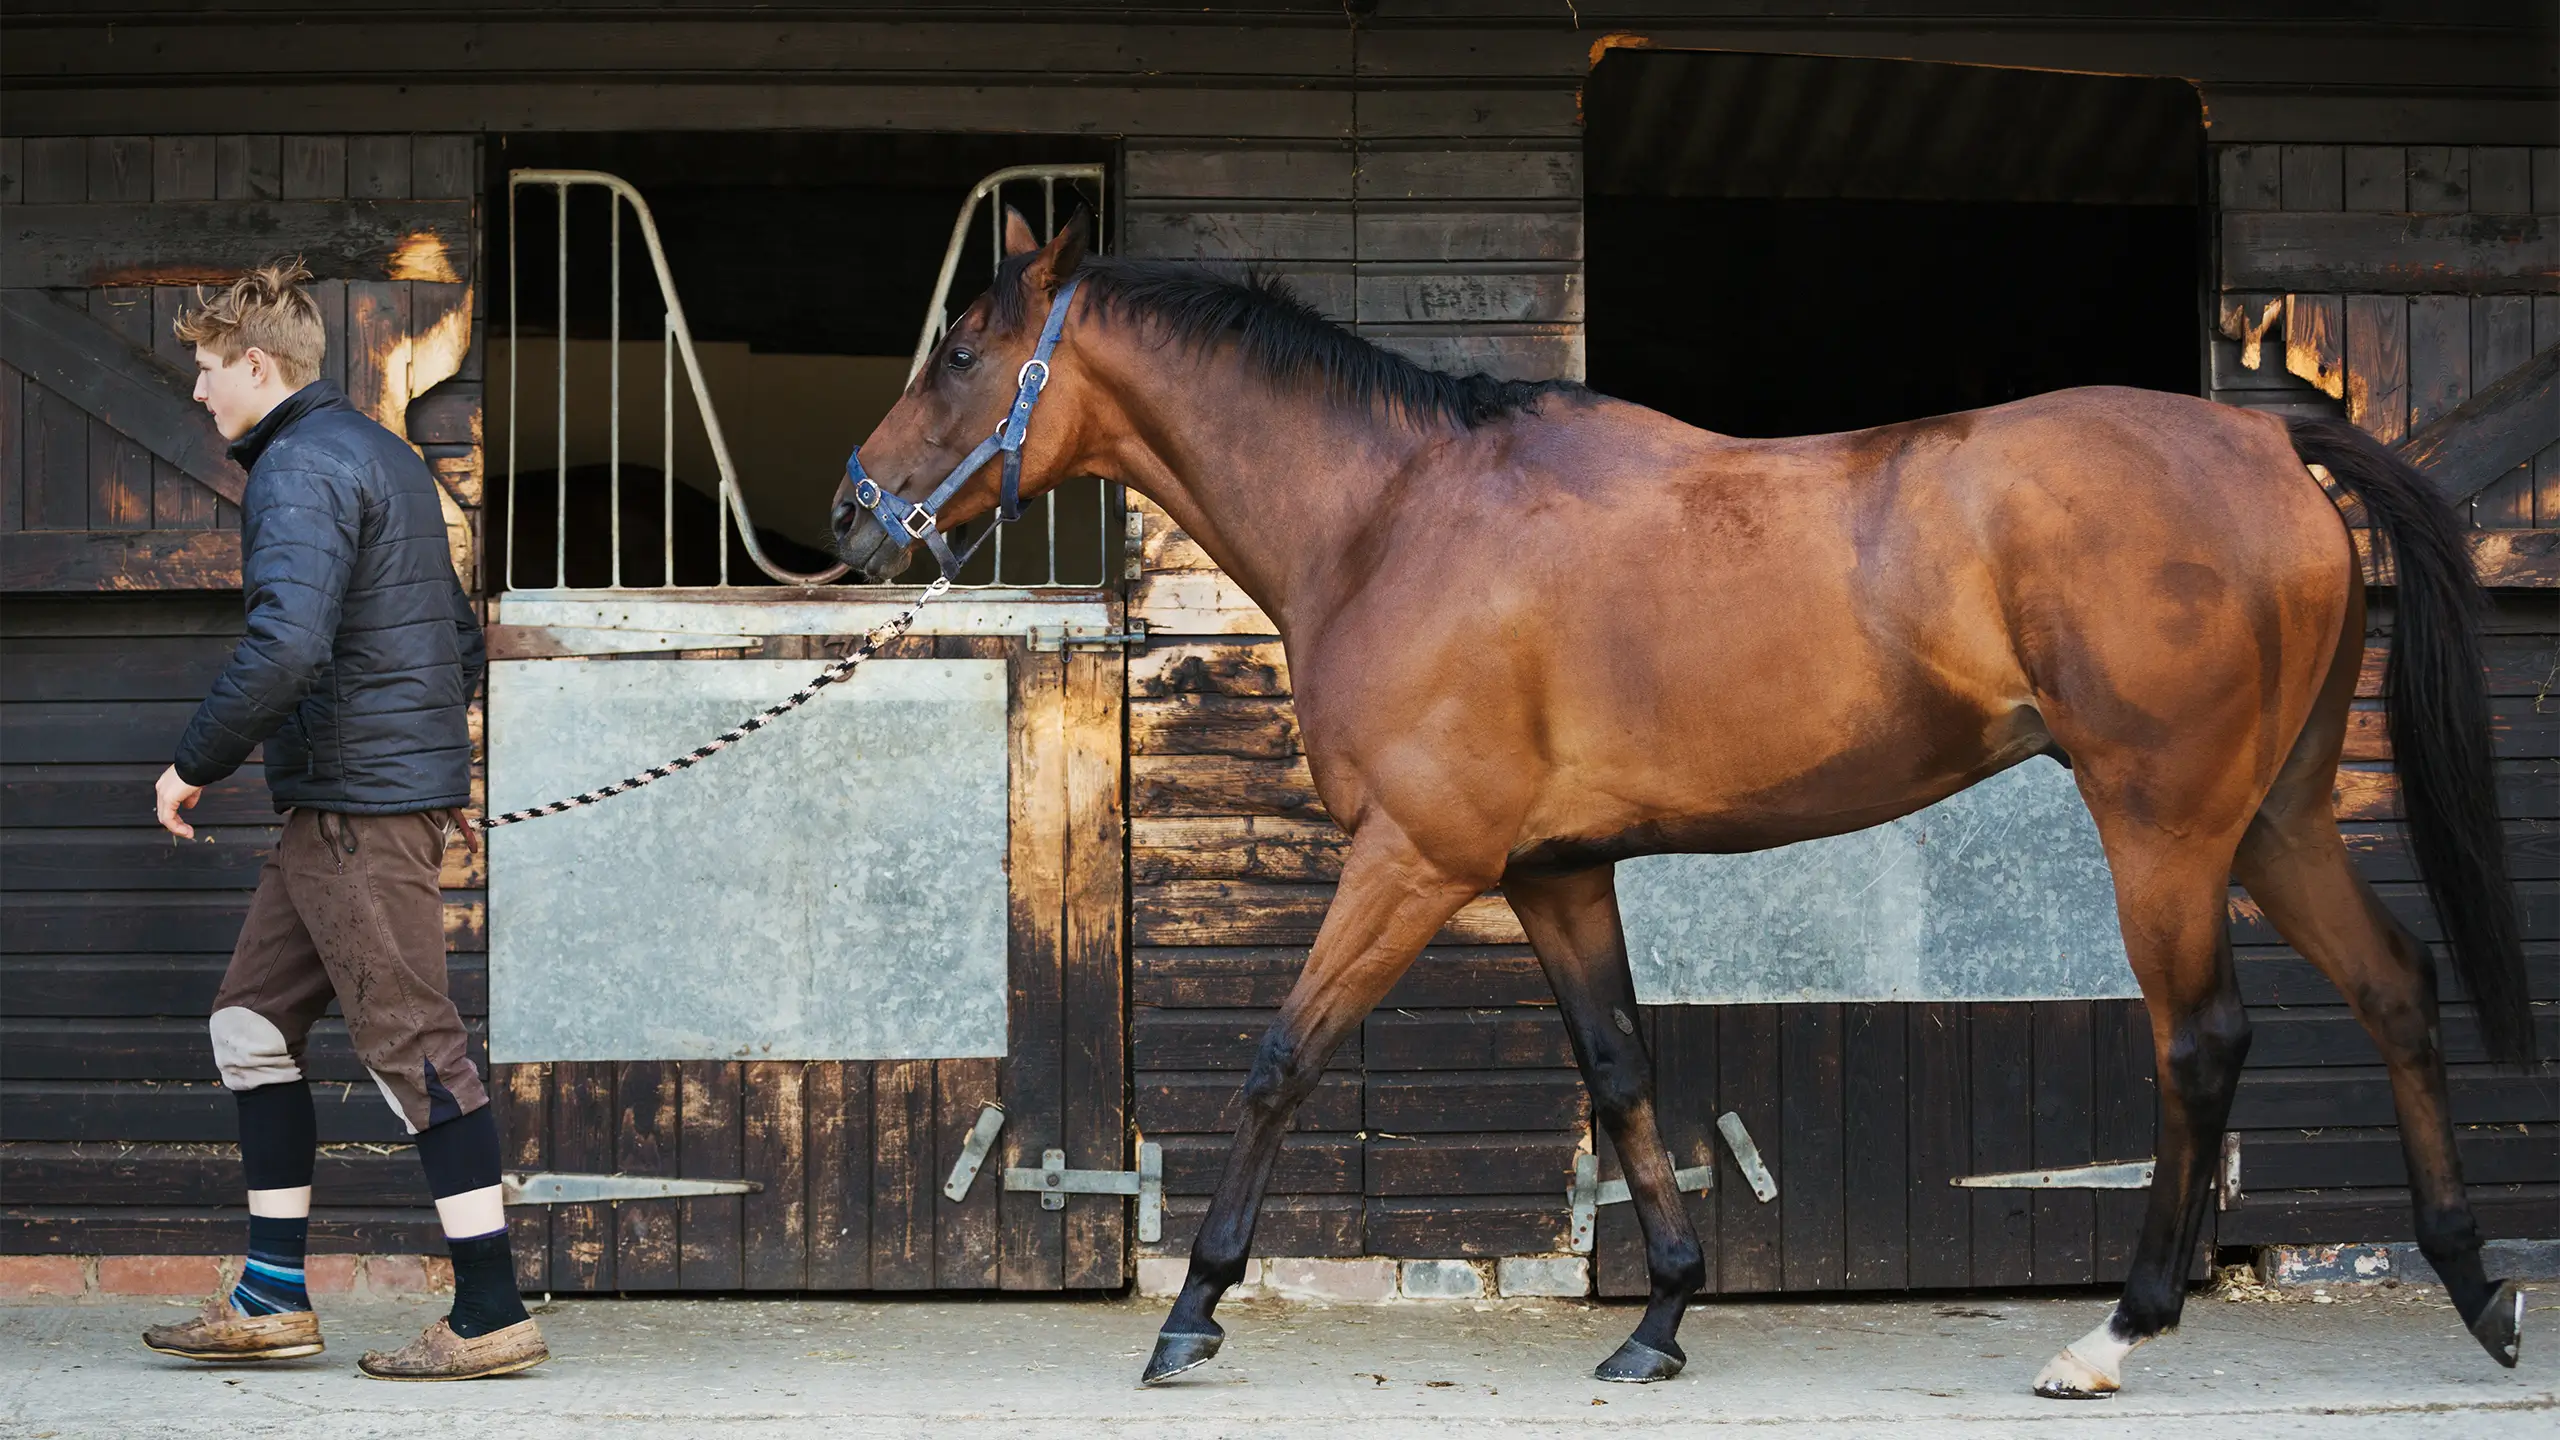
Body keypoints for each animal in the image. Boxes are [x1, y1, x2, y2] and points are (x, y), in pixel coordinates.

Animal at [831, 210, 2533, 1398]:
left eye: (964, 352)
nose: (854, 516)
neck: (1395, 518)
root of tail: (2259, 432)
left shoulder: (1414, 862)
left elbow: (1278, 1064)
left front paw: (1191, 1312)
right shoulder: (1556, 872)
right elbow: (1622, 1069)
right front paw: (1658, 1311)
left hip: (2167, 827)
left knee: (2203, 1047)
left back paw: (2118, 1333)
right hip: (2275, 822)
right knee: (2393, 987)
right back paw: (2476, 1291)